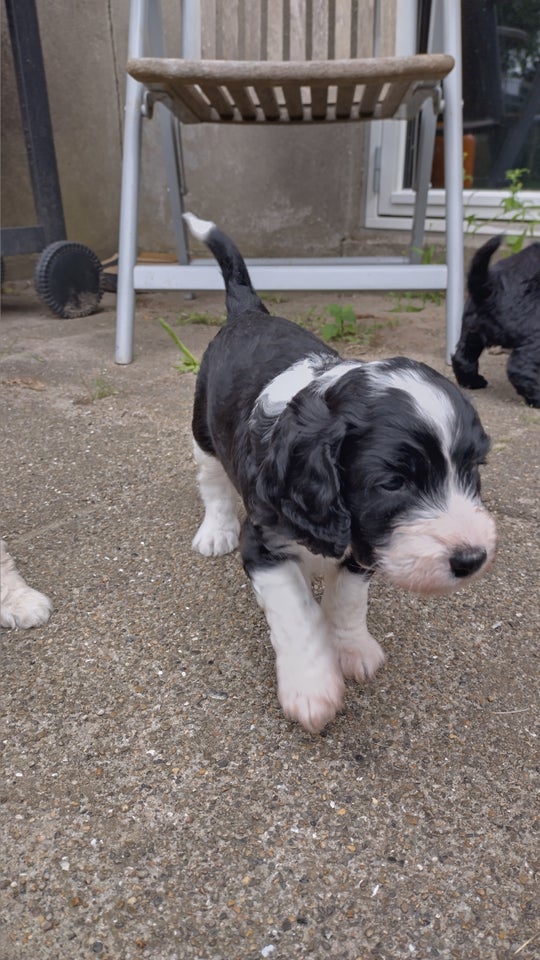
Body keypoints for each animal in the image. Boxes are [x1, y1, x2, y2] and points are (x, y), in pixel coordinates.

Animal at [186, 214, 498, 732]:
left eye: (472, 468)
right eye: (393, 483)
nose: (471, 559)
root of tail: (249, 312)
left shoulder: (365, 542)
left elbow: (348, 600)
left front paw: (353, 649)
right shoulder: (265, 540)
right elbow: (295, 611)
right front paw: (312, 687)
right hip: (202, 431)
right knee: (211, 481)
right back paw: (214, 531)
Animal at [452, 239, 540, 408]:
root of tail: (491, 287)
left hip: (471, 329)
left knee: (462, 356)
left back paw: (472, 382)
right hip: (535, 329)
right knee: (520, 368)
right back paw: (537, 397)